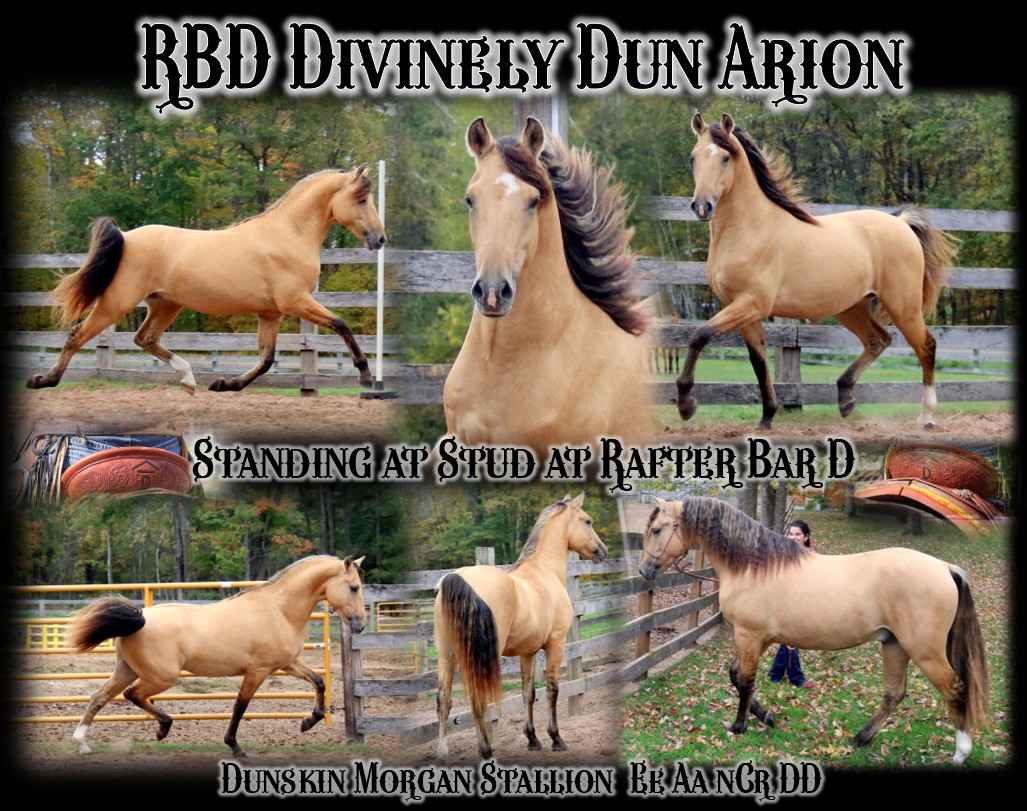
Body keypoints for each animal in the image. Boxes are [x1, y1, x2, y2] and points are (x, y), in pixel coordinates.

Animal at [26, 165, 386, 394]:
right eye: (361, 199)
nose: (379, 240)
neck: (287, 234)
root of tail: (126, 237)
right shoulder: (296, 301)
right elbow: (341, 325)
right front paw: (366, 376)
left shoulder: (271, 313)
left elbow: (266, 359)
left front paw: (226, 384)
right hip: (118, 301)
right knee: (78, 335)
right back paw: (43, 380)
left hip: (165, 304)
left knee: (145, 339)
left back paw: (188, 380)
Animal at [67, 554, 367, 758]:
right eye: (353, 587)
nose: (361, 625)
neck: (278, 609)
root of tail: (140, 617)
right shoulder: (258, 671)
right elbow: (240, 706)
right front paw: (235, 746)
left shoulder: (287, 664)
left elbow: (319, 682)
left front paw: (308, 722)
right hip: (161, 677)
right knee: (132, 694)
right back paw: (163, 727)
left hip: (126, 670)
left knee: (99, 697)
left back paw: (82, 743)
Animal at [433, 492, 608, 760]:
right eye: (587, 521)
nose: (603, 551)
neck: (544, 570)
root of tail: (458, 578)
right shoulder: (556, 644)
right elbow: (552, 689)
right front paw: (556, 738)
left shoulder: (528, 652)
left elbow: (529, 693)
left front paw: (533, 739)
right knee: (478, 700)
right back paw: (486, 750)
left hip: (447, 653)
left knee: (444, 700)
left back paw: (443, 752)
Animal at [638, 496, 990, 765]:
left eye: (656, 529)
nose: (644, 571)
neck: (752, 567)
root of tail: (945, 567)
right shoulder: (761, 639)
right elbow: (735, 674)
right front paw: (766, 716)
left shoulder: (749, 636)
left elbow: (745, 680)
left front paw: (738, 726)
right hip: (895, 645)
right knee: (894, 694)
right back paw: (861, 738)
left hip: (924, 651)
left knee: (955, 689)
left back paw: (961, 752)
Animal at [677, 113, 958, 430]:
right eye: (693, 157)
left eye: (725, 158)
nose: (702, 207)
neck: (752, 229)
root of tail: (900, 222)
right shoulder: (741, 308)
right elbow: (758, 361)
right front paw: (767, 417)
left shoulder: (750, 304)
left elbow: (699, 335)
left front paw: (686, 405)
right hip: (851, 307)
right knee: (878, 340)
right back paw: (845, 398)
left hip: (903, 306)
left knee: (926, 346)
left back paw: (926, 415)